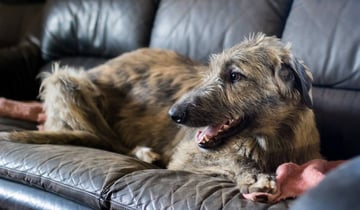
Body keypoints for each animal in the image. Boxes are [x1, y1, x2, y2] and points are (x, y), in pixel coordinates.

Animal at [0, 34, 320, 194]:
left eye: (234, 76)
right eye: (210, 71)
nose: (173, 114)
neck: (268, 138)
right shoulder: (187, 156)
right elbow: (231, 158)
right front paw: (252, 176)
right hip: (67, 80)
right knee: (108, 141)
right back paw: (142, 152)